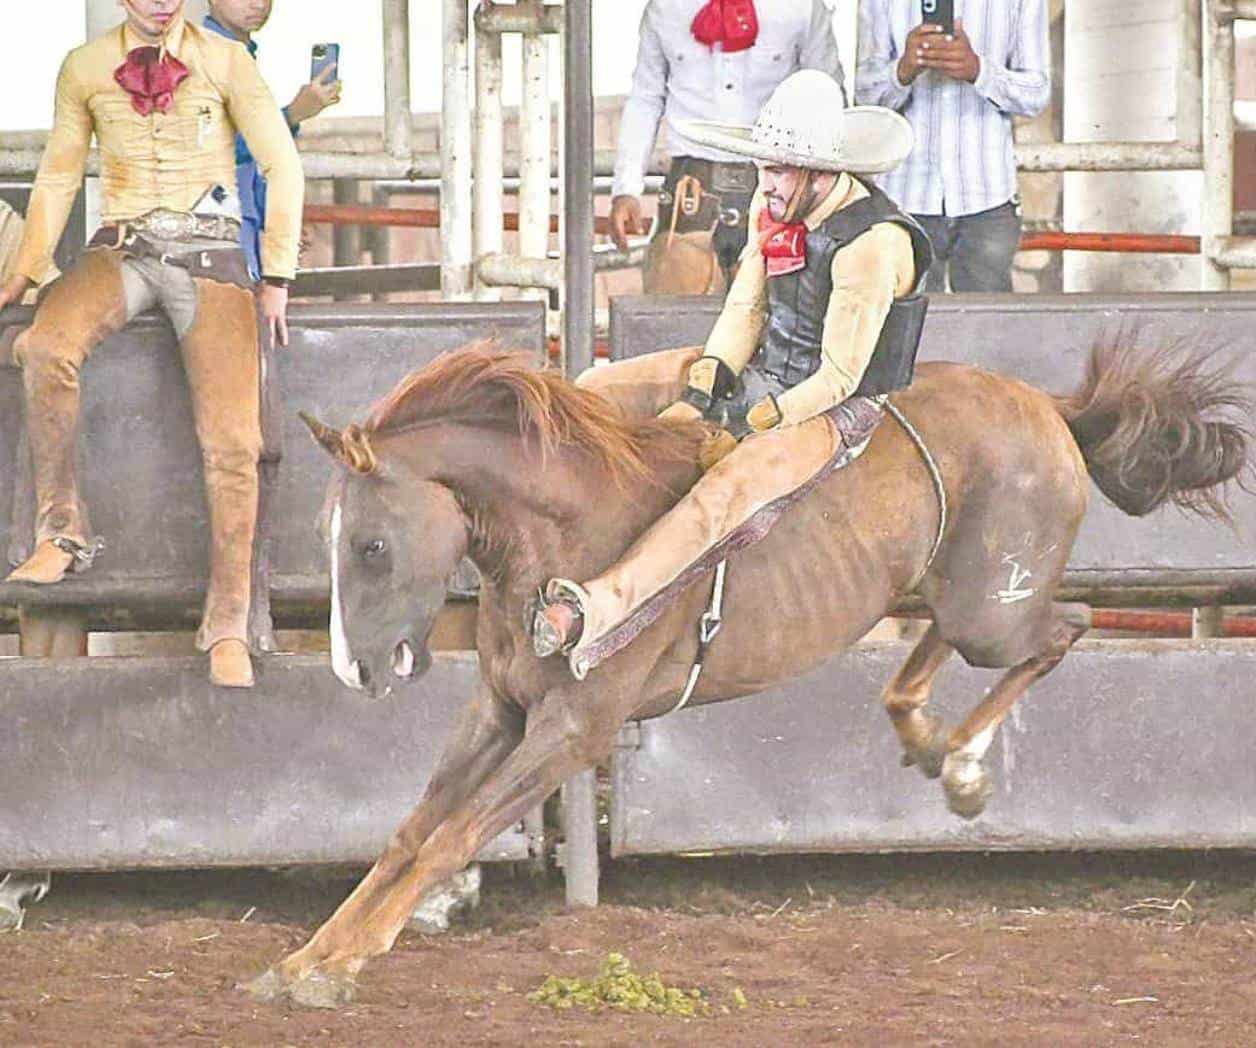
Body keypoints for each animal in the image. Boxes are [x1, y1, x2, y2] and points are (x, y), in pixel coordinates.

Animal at [244, 336, 1245, 1005]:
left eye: (372, 545)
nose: (356, 669)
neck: (567, 535)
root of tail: (1049, 409)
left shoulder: (576, 730)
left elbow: (452, 836)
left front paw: (344, 963)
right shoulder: (498, 707)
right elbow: (410, 832)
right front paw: (307, 956)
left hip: (994, 614)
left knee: (1063, 629)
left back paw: (963, 767)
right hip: (947, 593)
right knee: (941, 656)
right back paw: (931, 742)